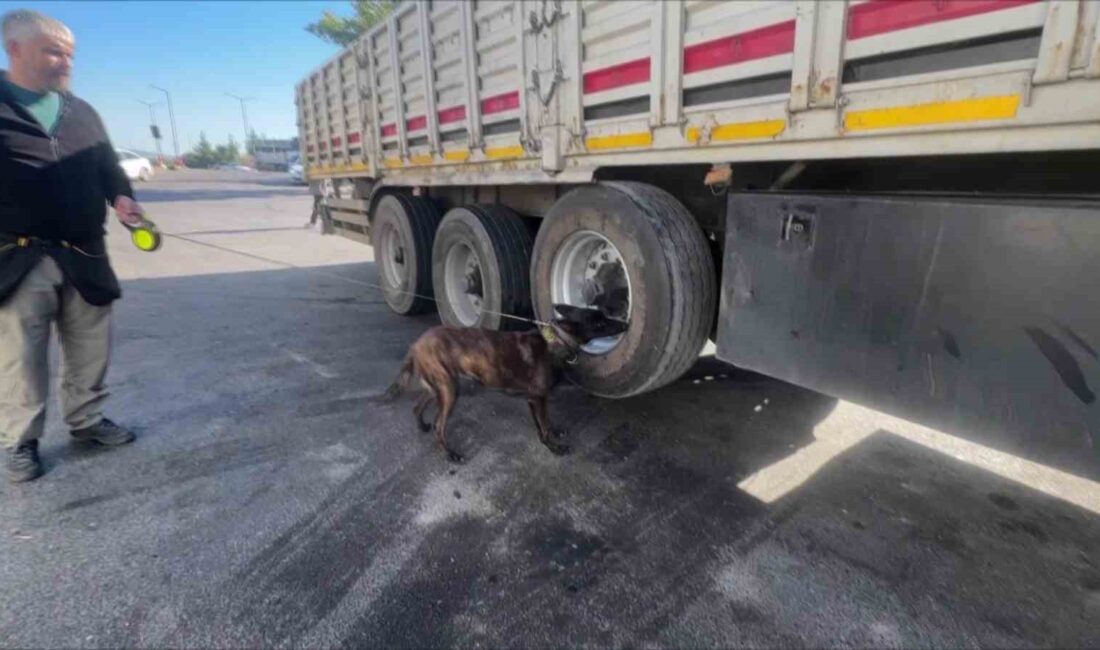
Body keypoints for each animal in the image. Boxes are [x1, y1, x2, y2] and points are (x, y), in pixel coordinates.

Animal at [387, 305, 629, 461]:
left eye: (604, 315)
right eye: (599, 322)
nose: (626, 324)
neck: (557, 340)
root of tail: (416, 344)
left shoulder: (533, 399)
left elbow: (543, 424)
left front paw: (550, 437)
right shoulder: (539, 397)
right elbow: (545, 425)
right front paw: (554, 448)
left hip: (439, 386)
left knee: (417, 407)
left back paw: (422, 425)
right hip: (449, 389)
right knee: (439, 425)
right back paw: (450, 454)